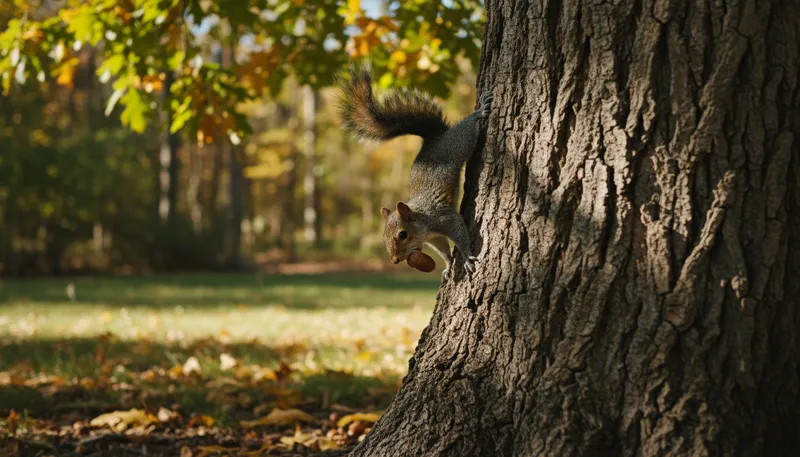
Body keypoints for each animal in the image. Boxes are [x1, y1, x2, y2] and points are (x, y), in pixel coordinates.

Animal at [337, 63, 493, 278]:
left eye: (403, 234)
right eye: (383, 237)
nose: (395, 260)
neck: (423, 223)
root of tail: (434, 137)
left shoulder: (444, 218)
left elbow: (460, 235)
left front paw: (467, 256)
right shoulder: (435, 238)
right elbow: (443, 250)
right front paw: (448, 265)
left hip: (459, 143)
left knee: (467, 129)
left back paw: (479, 112)